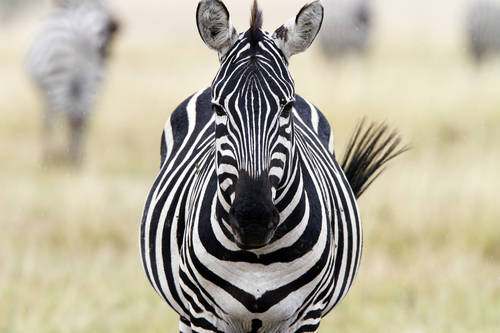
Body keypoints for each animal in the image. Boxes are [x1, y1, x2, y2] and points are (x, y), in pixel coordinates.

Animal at [27, 0, 119, 163]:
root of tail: (81, 27)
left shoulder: (45, 94)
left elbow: (47, 122)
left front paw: (48, 154)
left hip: (57, 79)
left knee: (64, 117)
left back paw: (55, 155)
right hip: (94, 82)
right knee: (81, 118)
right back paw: (77, 158)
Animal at [141, 1, 406, 330]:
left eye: (287, 107)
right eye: (218, 108)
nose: (252, 220)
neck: (258, 258)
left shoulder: (306, 316)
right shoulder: (203, 314)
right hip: (186, 312)